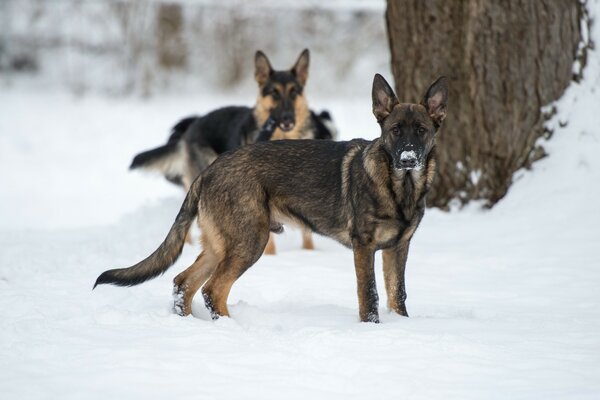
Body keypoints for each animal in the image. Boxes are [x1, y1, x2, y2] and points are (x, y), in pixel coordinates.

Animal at [96, 74, 448, 322]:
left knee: (183, 282)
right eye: (395, 130)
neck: (399, 187)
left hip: (222, 244)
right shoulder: (364, 247)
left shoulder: (398, 249)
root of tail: (210, 169)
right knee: (213, 289)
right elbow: (370, 294)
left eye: (421, 130)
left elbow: (397, 294)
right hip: (250, 240)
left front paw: (403, 326)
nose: (407, 159)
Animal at [129, 49, 336, 253]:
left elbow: (307, 232)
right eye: (274, 93)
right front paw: (272, 256)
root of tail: (193, 126)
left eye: (294, 93)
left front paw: (309, 252)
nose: (287, 118)